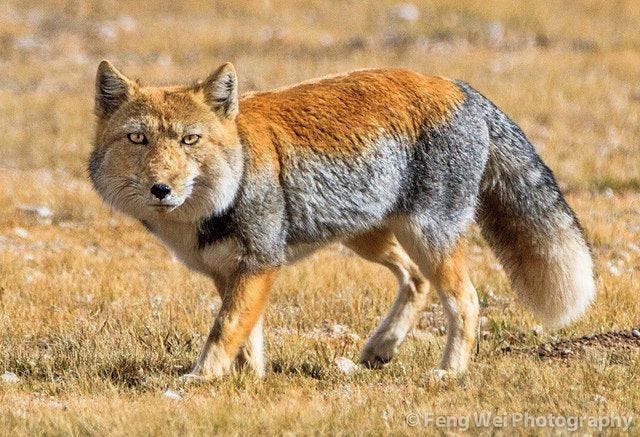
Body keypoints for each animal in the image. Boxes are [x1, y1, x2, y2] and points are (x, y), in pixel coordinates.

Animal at [87, 60, 592, 378]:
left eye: (189, 140)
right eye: (138, 139)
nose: (161, 189)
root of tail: (456, 84)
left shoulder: (259, 264)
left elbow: (225, 330)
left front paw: (201, 379)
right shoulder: (228, 273)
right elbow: (247, 338)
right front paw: (249, 383)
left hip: (426, 237)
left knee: (465, 301)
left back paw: (449, 372)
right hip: (369, 237)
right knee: (415, 281)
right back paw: (380, 349)